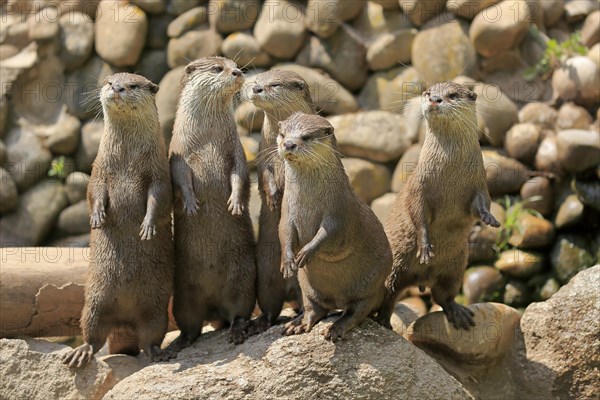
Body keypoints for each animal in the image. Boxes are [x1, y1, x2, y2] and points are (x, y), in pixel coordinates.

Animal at [63, 72, 173, 368]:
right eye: (109, 81)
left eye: (133, 85)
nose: (118, 88)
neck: (127, 160)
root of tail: (124, 320)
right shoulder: (100, 169)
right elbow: (93, 192)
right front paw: (97, 217)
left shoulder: (159, 171)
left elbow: (158, 198)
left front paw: (147, 225)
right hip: (94, 301)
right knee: (93, 333)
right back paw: (81, 352)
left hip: (156, 308)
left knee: (150, 336)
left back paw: (160, 353)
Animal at [168, 56, 256, 350]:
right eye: (219, 69)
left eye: (234, 64)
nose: (238, 72)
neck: (207, 140)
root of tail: (214, 307)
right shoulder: (178, 153)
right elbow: (180, 179)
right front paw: (191, 204)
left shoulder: (236, 149)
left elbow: (240, 174)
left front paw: (235, 203)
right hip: (183, 296)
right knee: (190, 324)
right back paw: (178, 344)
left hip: (243, 279)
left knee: (239, 311)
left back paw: (237, 331)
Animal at [247, 70, 314, 332]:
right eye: (257, 80)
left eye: (274, 84)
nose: (255, 89)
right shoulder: (263, 156)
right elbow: (264, 178)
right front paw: (273, 199)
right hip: (265, 274)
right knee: (270, 306)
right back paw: (258, 323)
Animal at [276, 111, 394, 340]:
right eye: (283, 134)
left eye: (306, 137)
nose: (289, 144)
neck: (308, 201)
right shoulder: (287, 211)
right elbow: (284, 232)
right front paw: (287, 262)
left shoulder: (339, 209)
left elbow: (330, 233)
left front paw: (306, 252)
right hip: (307, 285)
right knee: (314, 308)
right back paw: (297, 324)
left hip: (372, 285)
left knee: (358, 311)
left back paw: (336, 328)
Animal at [378, 82, 500, 332]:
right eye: (427, 93)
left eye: (452, 95)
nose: (435, 99)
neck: (450, 172)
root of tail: (421, 278)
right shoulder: (419, 187)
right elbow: (417, 213)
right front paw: (425, 247)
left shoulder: (479, 183)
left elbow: (482, 204)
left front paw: (489, 218)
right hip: (394, 266)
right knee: (388, 296)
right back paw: (383, 322)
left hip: (456, 267)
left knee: (444, 295)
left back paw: (458, 313)